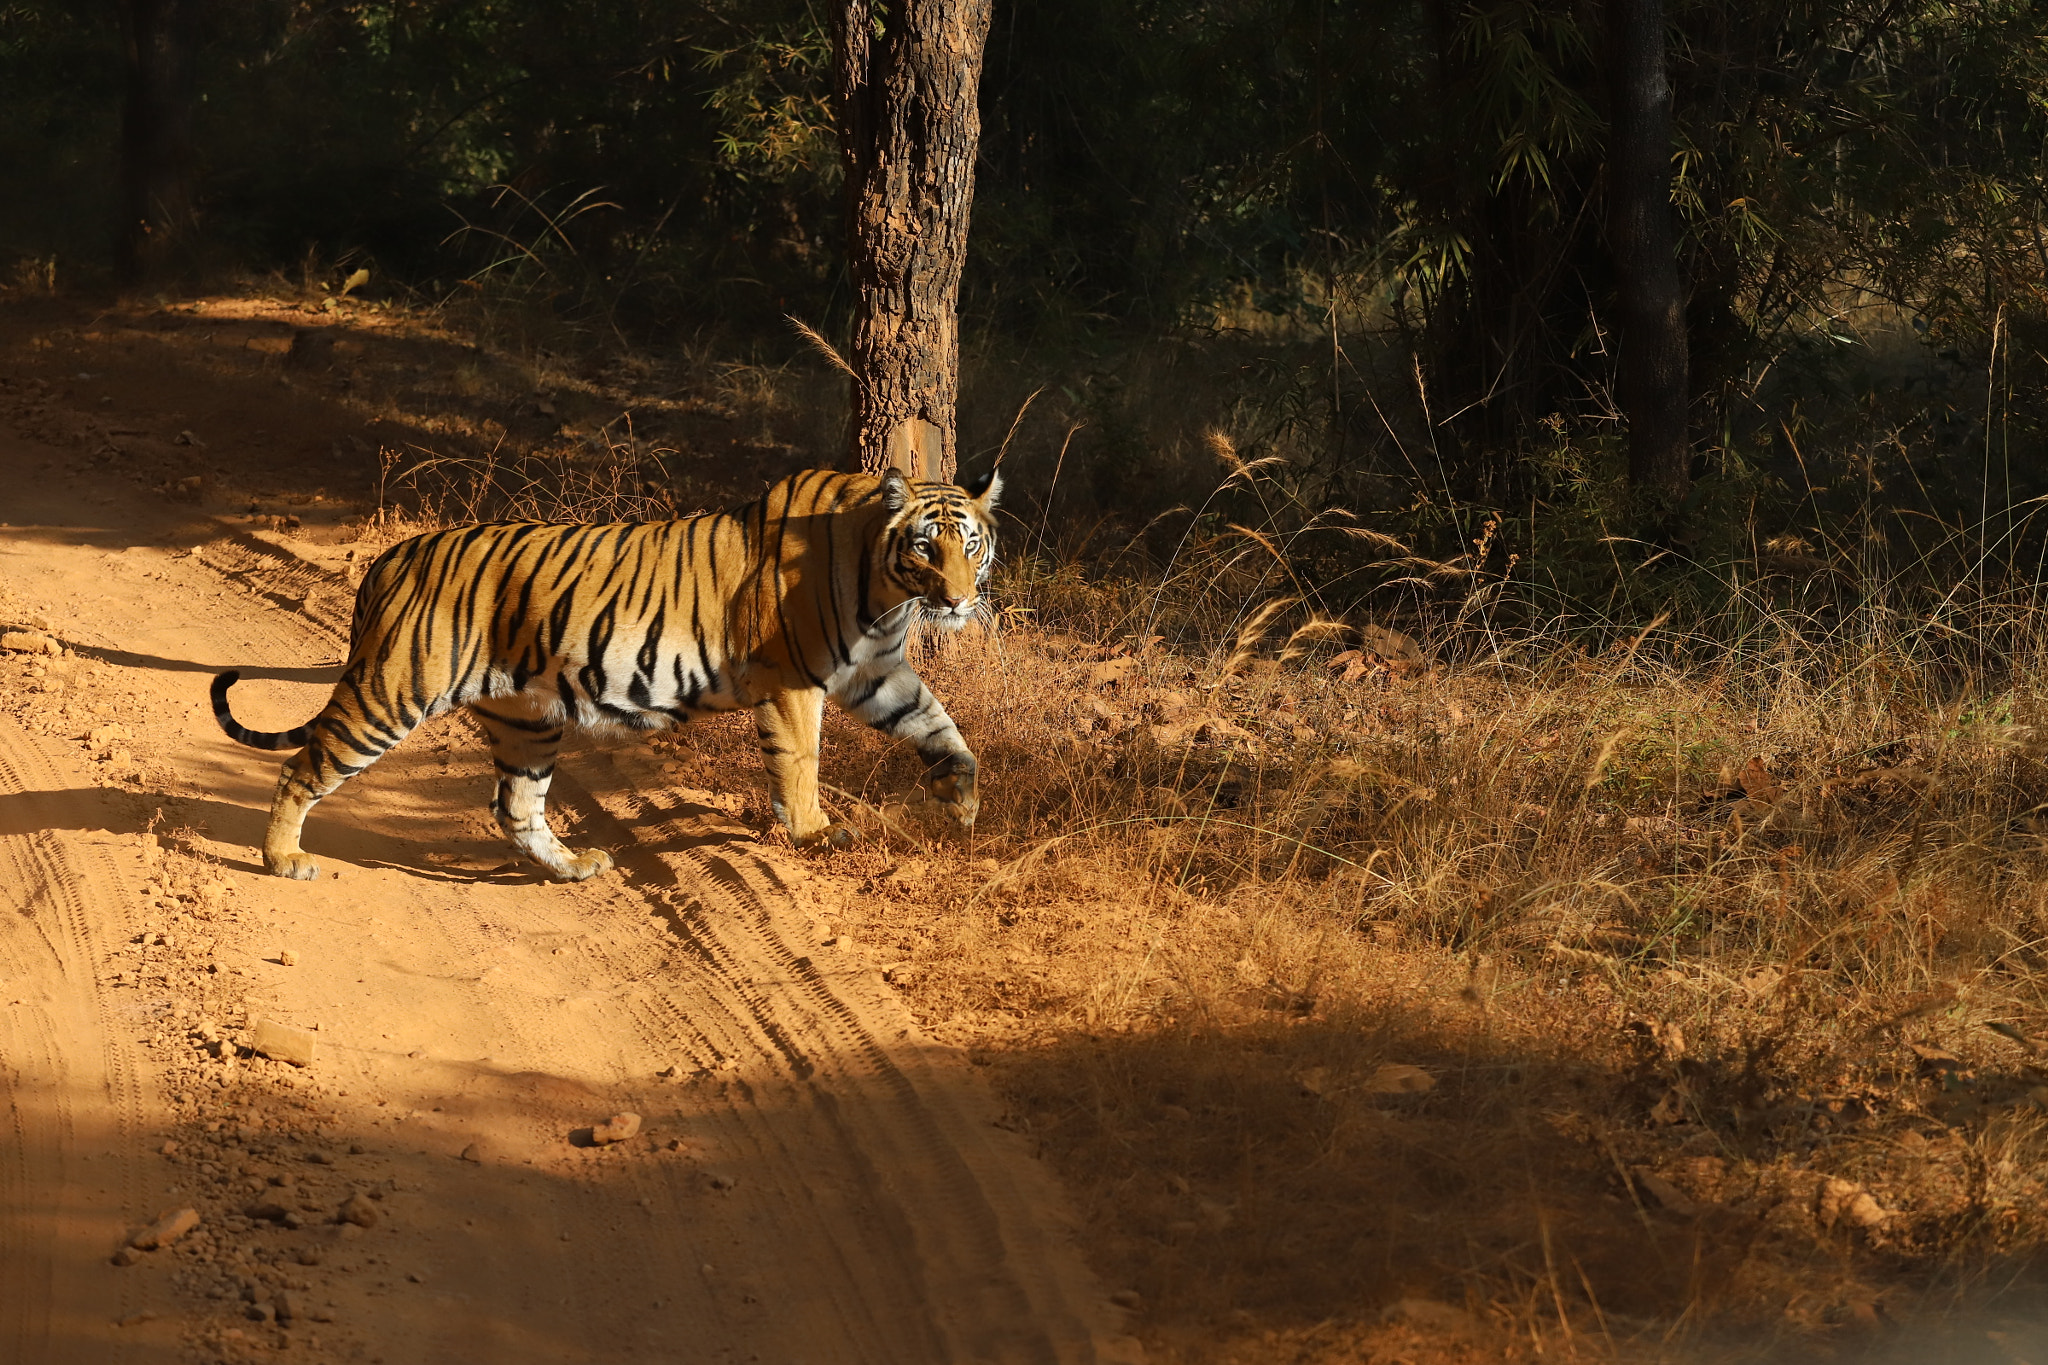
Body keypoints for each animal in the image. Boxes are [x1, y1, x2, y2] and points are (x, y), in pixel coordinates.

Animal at [210, 466, 1001, 882]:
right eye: (926, 547)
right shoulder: (794, 680)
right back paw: (283, 859)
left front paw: (961, 807)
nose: (960, 601)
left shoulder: (876, 672)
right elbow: (801, 761)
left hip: (527, 722)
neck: (884, 592)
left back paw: (572, 866)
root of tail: (389, 557)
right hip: (392, 692)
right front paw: (816, 832)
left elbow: (945, 731)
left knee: (515, 807)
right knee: (303, 768)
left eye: (970, 545)